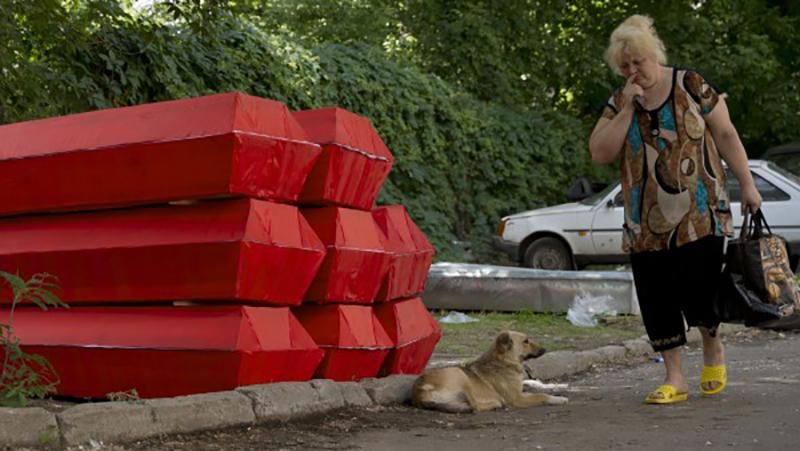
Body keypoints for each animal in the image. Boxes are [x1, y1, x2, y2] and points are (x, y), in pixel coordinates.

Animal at [412, 330, 568, 414]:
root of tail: (419, 392)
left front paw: (558, 394)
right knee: (475, 406)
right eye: (526, 341)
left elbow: (538, 391)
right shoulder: (517, 399)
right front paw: (558, 399)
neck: (504, 362)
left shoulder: (520, 393)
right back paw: (495, 403)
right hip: (460, 375)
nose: (545, 349)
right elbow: (541, 395)